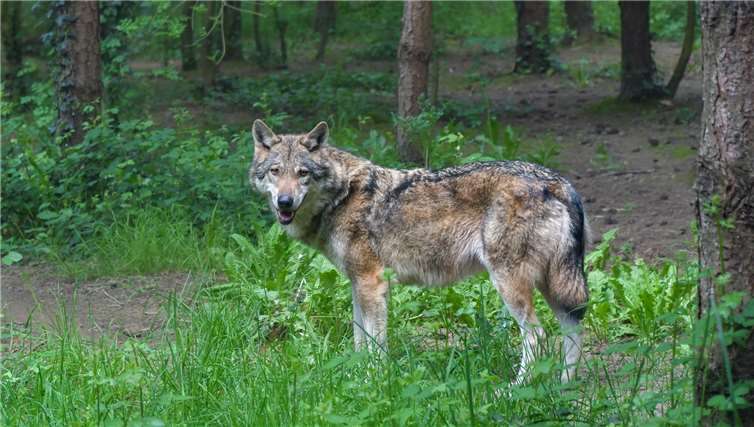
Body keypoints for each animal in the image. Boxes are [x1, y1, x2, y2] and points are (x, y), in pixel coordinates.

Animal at [249, 120, 589, 383]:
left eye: (302, 173)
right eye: (275, 171)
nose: (284, 202)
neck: (342, 196)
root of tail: (558, 182)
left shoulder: (372, 283)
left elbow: (375, 345)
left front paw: (374, 382)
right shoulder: (357, 285)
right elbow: (359, 341)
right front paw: (355, 380)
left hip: (511, 283)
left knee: (537, 336)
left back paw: (513, 391)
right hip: (554, 285)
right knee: (572, 331)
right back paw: (563, 386)